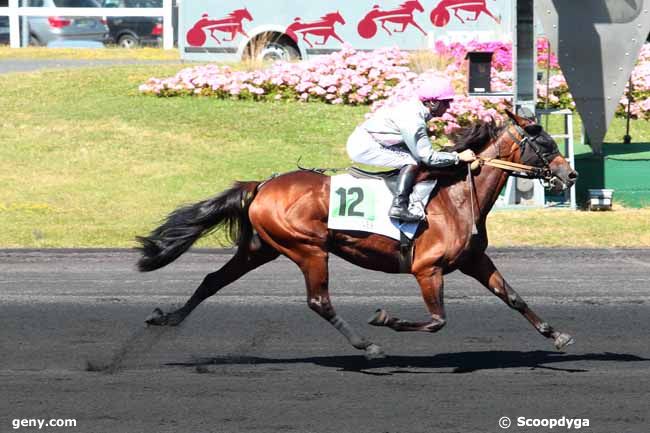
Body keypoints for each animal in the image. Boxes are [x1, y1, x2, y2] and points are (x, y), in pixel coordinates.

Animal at [137, 109, 576, 360]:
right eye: (543, 142)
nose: (570, 174)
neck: (455, 196)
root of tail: (262, 185)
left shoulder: (473, 260)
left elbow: (513, 298)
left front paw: (557, 335)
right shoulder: (427, 268)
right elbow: (437, 320)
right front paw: (386, 319)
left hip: (260, 248)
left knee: (213, 280)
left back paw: (168, 317)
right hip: (308, 249)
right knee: (319, 301)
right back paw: (368, 345)